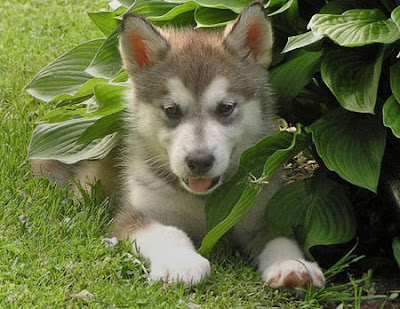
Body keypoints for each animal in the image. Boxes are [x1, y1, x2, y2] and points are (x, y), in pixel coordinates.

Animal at [31, 1, 324, 286]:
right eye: (171, 110)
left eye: (226, 108)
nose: (199, 161)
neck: (201, 203)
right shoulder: (135, 215)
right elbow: (167, 232)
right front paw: (182, 263)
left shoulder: (262, 211)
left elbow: (280, 238)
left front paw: (292, 265)